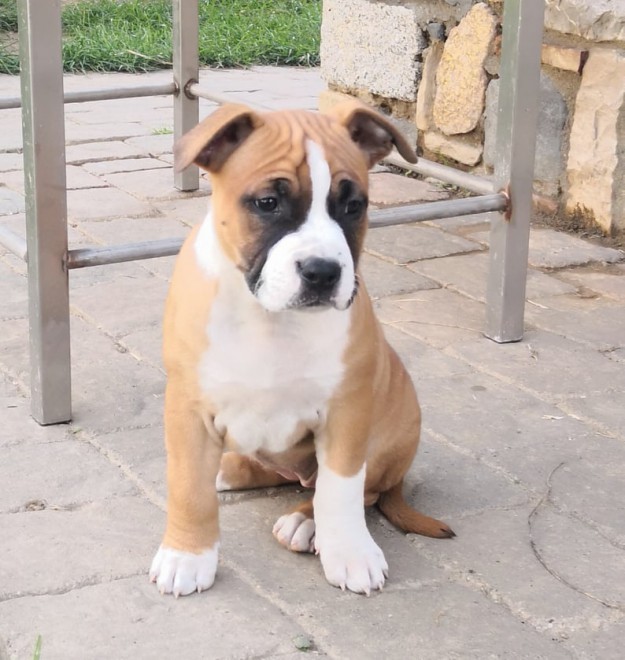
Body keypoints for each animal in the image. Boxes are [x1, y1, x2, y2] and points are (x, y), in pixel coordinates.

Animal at [149, 99, 454, 598]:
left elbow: (342, 488)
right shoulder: (187, 407)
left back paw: (303, 523)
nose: (322, 271)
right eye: (268, 203)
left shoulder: (347, 413)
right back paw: (228, 470)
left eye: (353, 206)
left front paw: (349, 553)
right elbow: (189, 485)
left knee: (352, 489)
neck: (268, 318)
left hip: (390, 432)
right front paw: (187, 556)